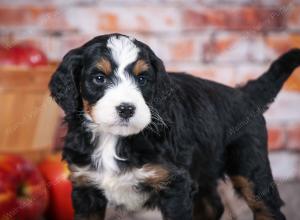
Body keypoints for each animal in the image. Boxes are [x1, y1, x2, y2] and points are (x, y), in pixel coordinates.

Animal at [48, 33, 298, 220]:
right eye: (99, 78)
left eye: (142, 79)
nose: (127, 109)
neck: (114, 138)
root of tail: (244, 94)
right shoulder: (85, 187)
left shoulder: (175, 185)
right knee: (213, 205)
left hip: (250, 163)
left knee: (266, 206)